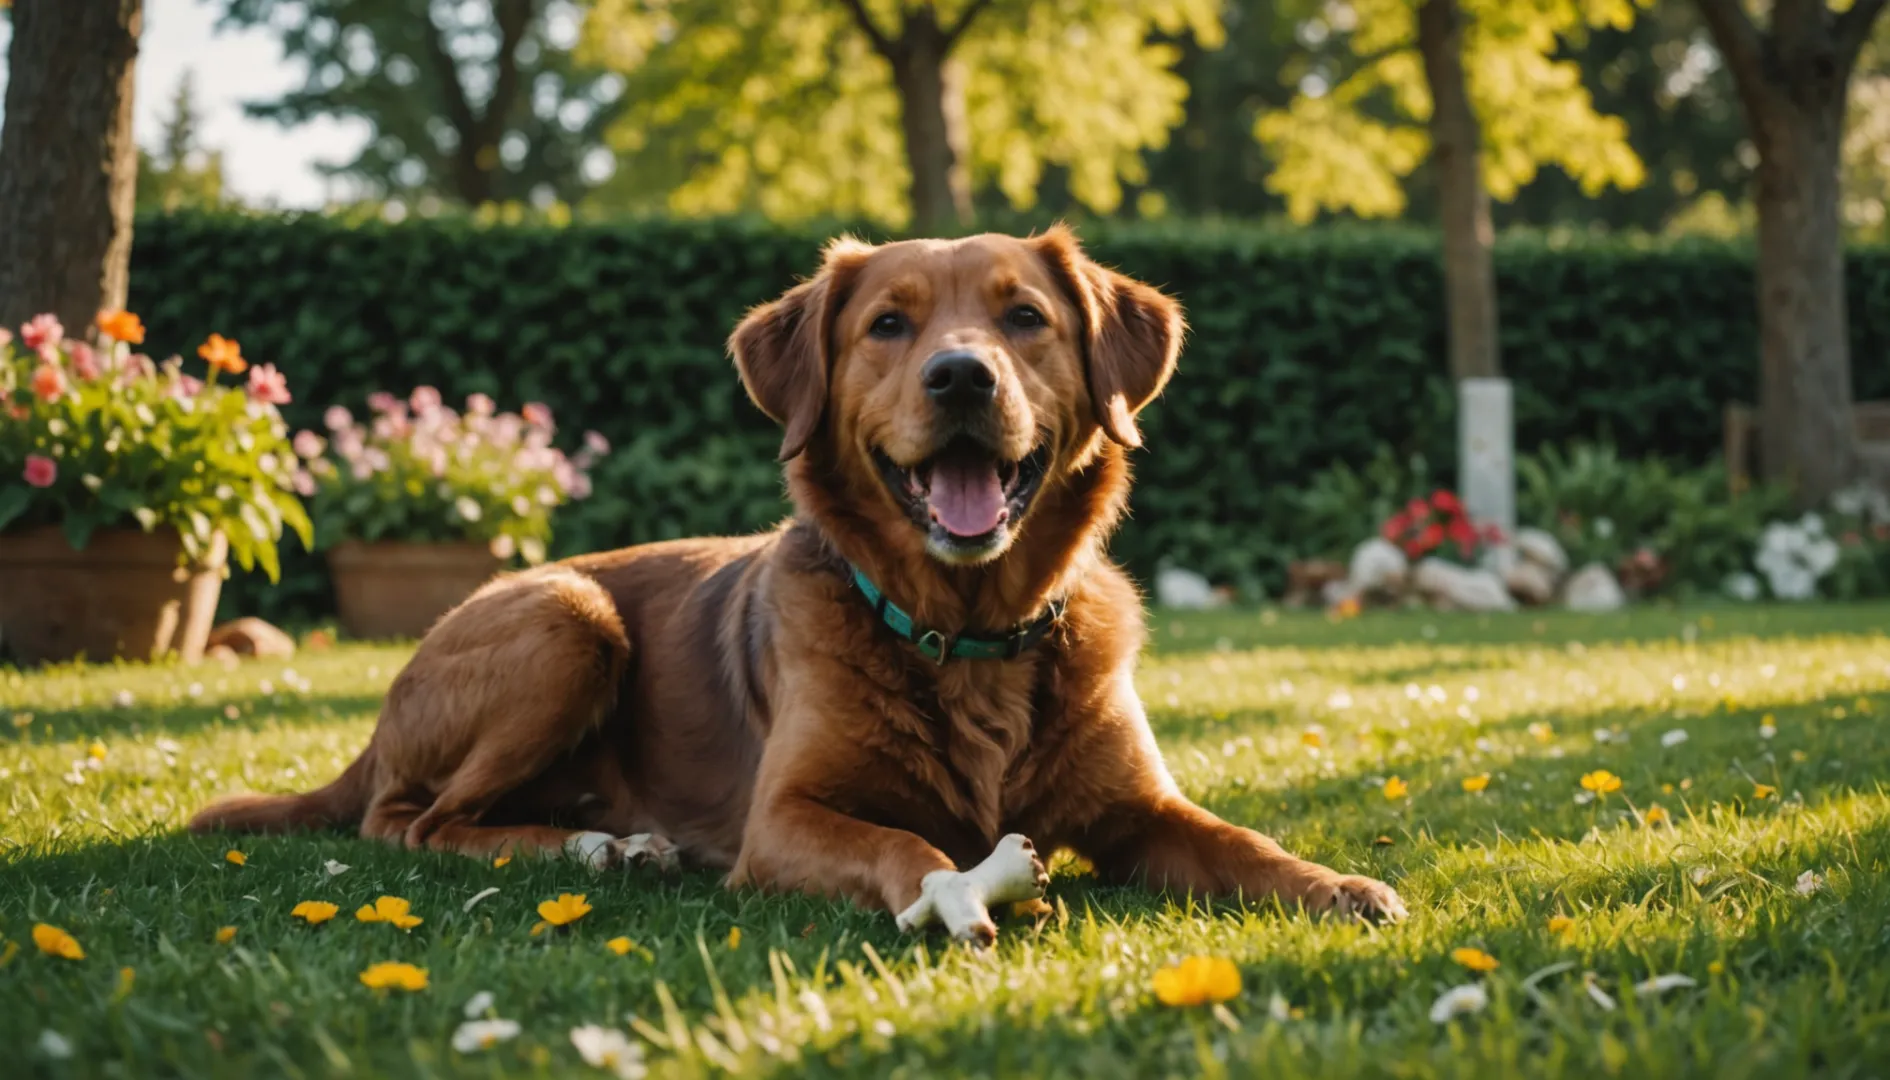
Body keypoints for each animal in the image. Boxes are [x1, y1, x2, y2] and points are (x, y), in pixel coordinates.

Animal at [191, 230, 1406, 945]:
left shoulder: (1142, 809)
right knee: (417, 823)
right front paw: (950, 893)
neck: (968, 633)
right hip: (566, 623)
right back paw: (598, 848)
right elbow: (900, 846)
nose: (960, 376)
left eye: (1025, 317)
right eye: (888, 324)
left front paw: (1338, 886)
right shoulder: (784, 820)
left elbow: (1241, 844)